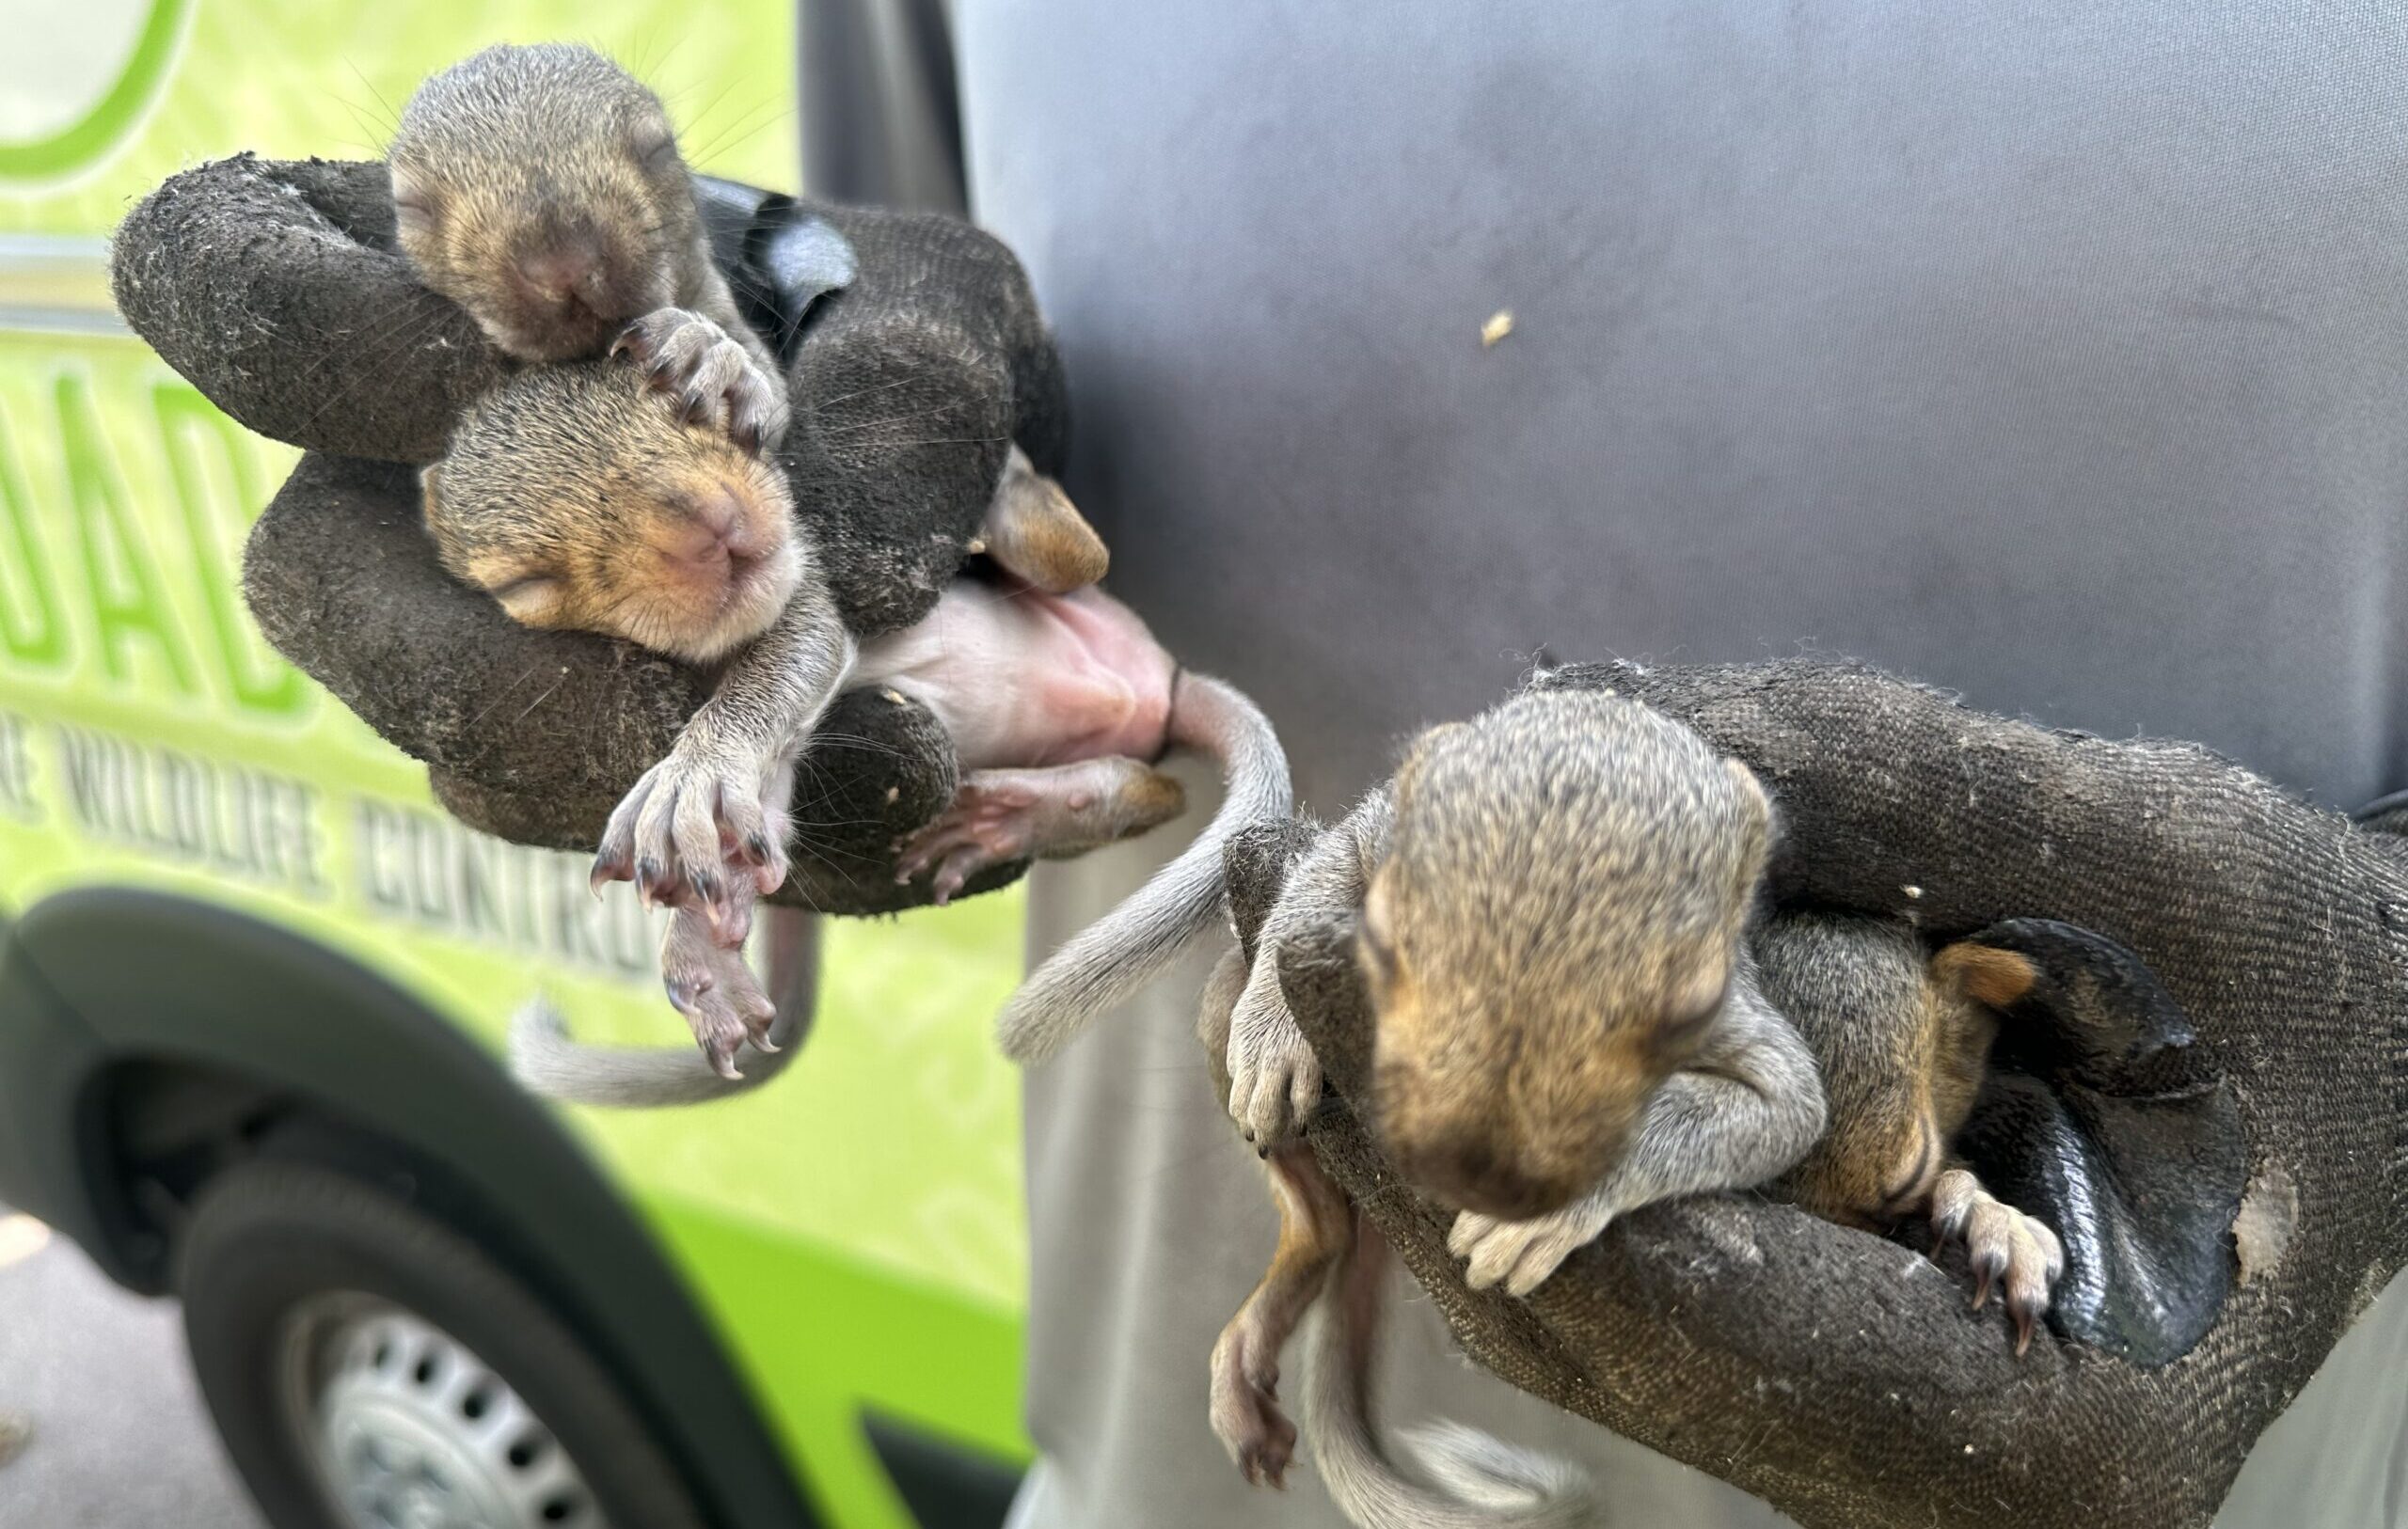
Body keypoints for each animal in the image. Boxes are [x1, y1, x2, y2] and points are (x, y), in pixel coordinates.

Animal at [422, 356, 1289, 1099]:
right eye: (523, 583)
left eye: (691, 407)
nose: (712, 522)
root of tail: (1160, 683)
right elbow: (764, 809)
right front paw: (703, 945)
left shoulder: (812, 593)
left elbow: (785, 665)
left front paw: (691, 777)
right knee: (1157, 790)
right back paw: (1025, 813)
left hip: (1072, 584)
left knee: (1080, 563)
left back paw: (1011, 501)